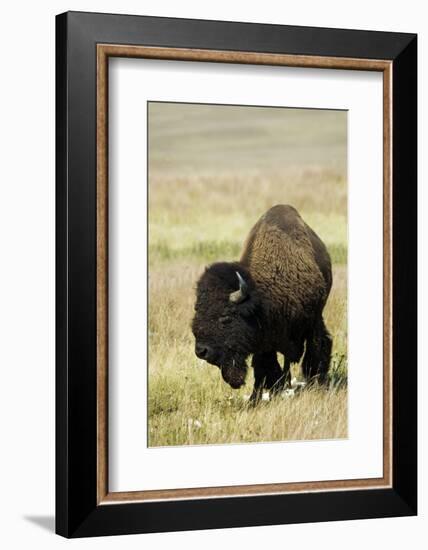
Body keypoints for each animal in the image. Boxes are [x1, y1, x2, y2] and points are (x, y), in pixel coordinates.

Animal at [191, 205, 334, 404]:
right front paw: (258, 398)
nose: (201, 351)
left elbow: (315, 350)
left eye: (225, 317)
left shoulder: (312, 321)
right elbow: (264, 368)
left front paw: (316, 384)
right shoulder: (264, 341)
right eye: (197, 311)